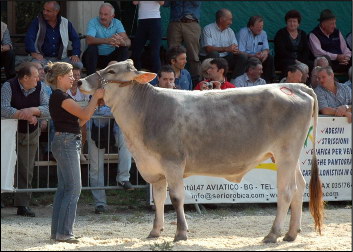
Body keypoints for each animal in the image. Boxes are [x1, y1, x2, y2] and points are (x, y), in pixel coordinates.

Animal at [78, 59, 324, 242]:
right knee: (299, 187)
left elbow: (176, 198)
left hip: (285, 154)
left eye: (112, 70)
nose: (80, 81)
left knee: (286, 191)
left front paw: (181, 233)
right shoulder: (155, 169)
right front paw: (155, 231)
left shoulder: (173, 162)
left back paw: (273, 234)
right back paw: (291, 234)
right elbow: (159, 199)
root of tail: (294, 86)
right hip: (288, 157)